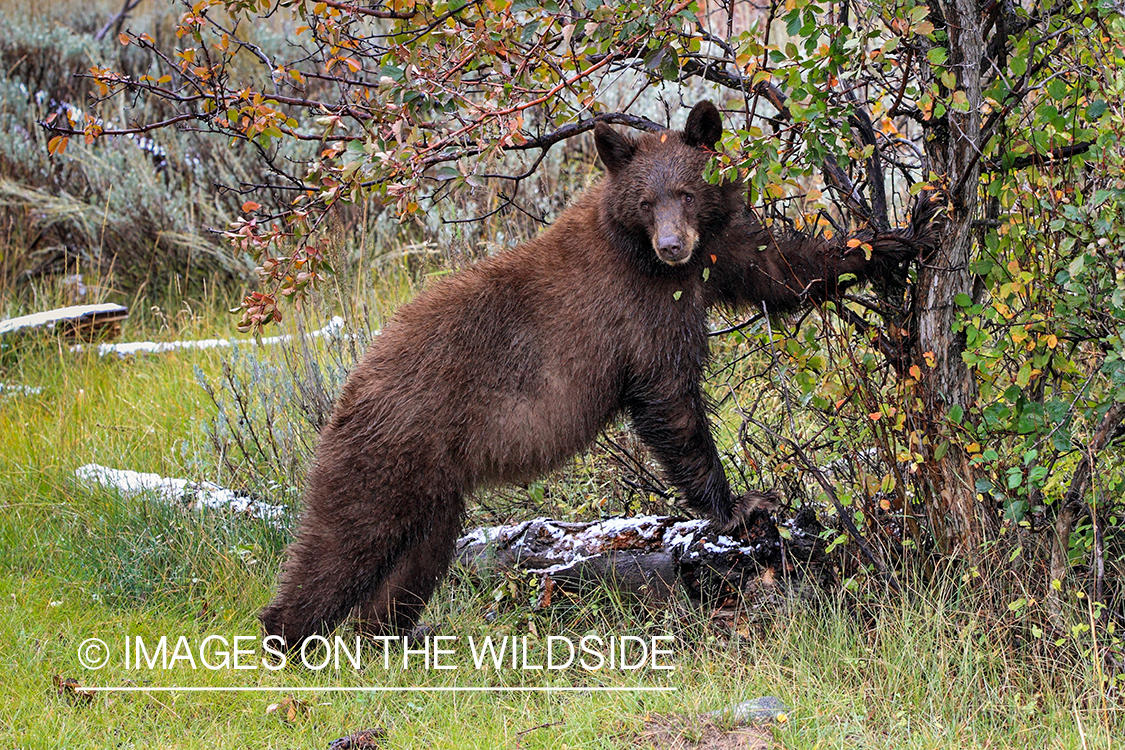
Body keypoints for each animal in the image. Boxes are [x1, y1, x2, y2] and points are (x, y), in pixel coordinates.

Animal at [263, 101, 940, 652]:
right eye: (646, 200)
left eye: (686, 193)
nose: (671, 244)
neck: (651, 256)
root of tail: (355, 380)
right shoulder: (641, 310)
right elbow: (670, 398)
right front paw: (739, 506)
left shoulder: (715, 254)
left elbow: (781, 268)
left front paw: (901, 237)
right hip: (394, 448)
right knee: (345, 539)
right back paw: (287, 638)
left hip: (435, 480)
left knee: (419, 552)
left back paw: (395, 631)